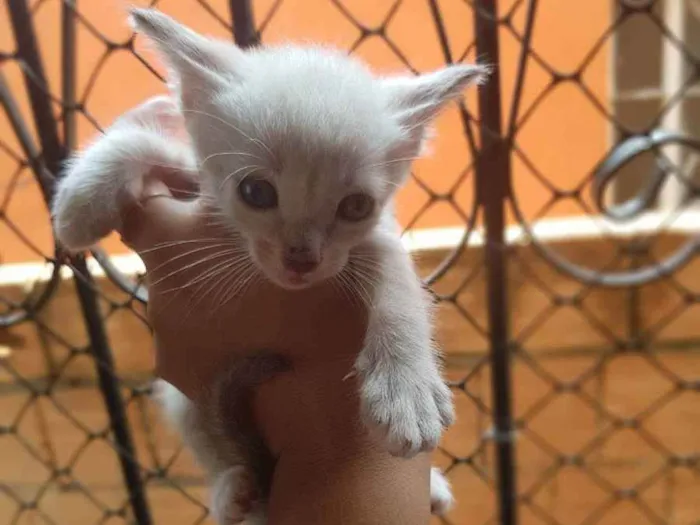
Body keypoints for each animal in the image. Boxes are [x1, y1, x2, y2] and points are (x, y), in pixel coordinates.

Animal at [52, 7, 486, 520]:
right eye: (256, 192)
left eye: (356, 206)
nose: (301, 260)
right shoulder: (197, 178)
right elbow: (140, 141)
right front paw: (80, 203)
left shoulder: (375, 236)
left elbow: (398, 276)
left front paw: (406, 387)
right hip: (186, 403)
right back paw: (233, 489)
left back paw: (431, 485)